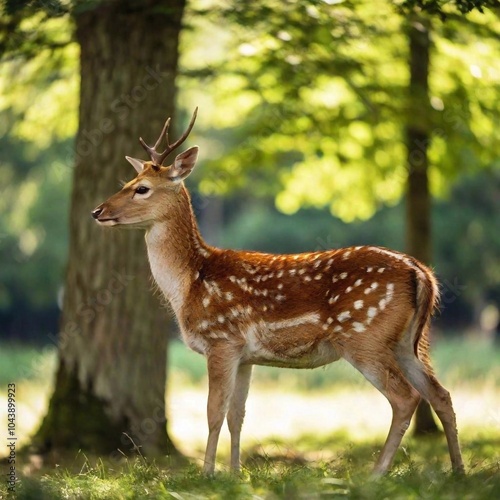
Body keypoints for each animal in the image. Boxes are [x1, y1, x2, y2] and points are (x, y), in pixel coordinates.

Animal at [93, 107, 464, 474]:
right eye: (126, 183)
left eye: (142, 188)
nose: (97, 211)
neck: (189, 284)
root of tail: (421, 273)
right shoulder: (245, 356)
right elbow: (237, 416)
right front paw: (235, 474)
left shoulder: (221, 339)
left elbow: (213, 412)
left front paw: (207, 474)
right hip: (409, 341)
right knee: (441, 394)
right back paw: (458, 472)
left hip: (364, 335)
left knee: (405, 398)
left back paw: (376, 475)